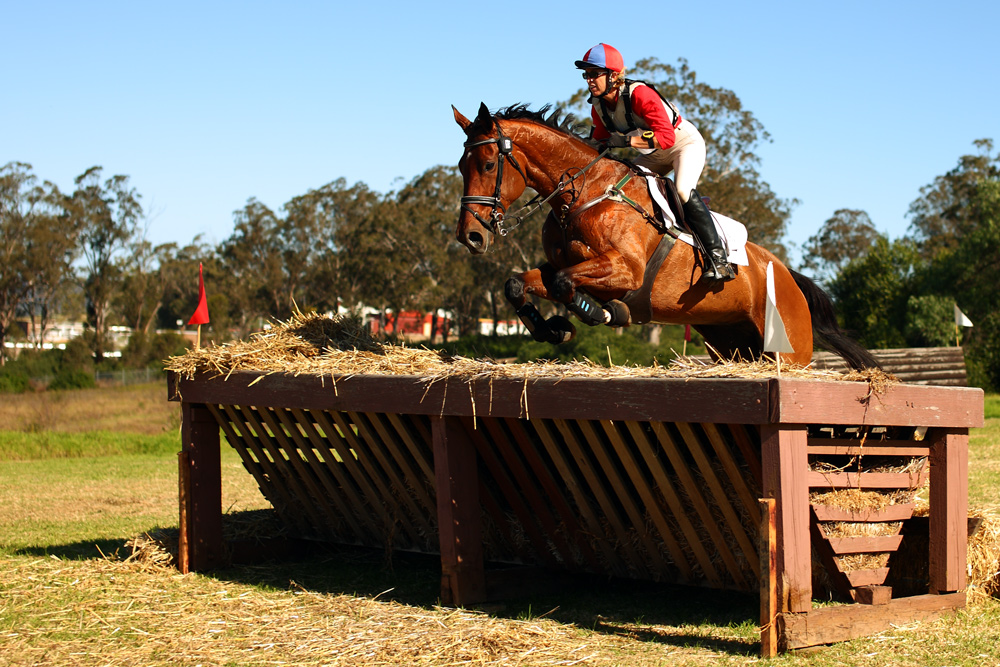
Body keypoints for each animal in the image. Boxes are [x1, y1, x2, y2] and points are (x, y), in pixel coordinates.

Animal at [454, 103, 876, 370]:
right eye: (460, 165)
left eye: (488, 164)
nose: (470, 237)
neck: (585, 193)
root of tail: (788, 275)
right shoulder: (562, 266)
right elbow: (518, 284)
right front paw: (554, 329)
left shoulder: (625, 271)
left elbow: (564, 284)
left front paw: (605, 312)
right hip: (730, 342)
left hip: (787, 348)